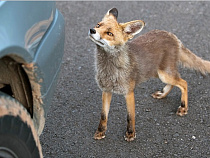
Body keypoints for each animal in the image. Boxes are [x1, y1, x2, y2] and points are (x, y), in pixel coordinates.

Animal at [88, 7, 210, 142]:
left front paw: (130, 133)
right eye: (98, 25)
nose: (92, 30)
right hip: (159, 73)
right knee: (175, 83)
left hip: (164, 74)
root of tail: (172, 36)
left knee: (184, 83)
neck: (109, 69)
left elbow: (130, 117)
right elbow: (103, 115)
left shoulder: (129, 92)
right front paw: (100, 132)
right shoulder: (106, 90)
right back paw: (163, 94)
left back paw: (183, 107)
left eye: (109, 33)